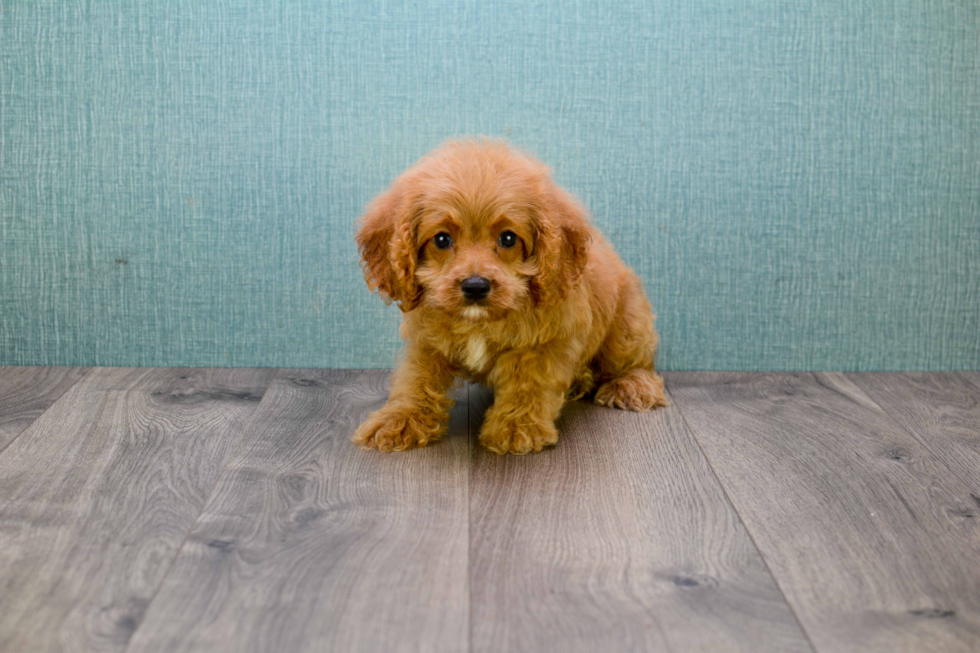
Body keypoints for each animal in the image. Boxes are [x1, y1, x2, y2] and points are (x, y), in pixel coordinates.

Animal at [352, 138, 668, 454]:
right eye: (442, 239)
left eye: (508, 238)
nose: (475, 285)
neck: (479, 323)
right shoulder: (426, 340)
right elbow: (415, 378)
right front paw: (399, 419)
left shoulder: (542, 344)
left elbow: (528, 381)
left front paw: (517, 427)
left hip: (627, 329)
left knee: (637, 362)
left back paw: (632, 385)